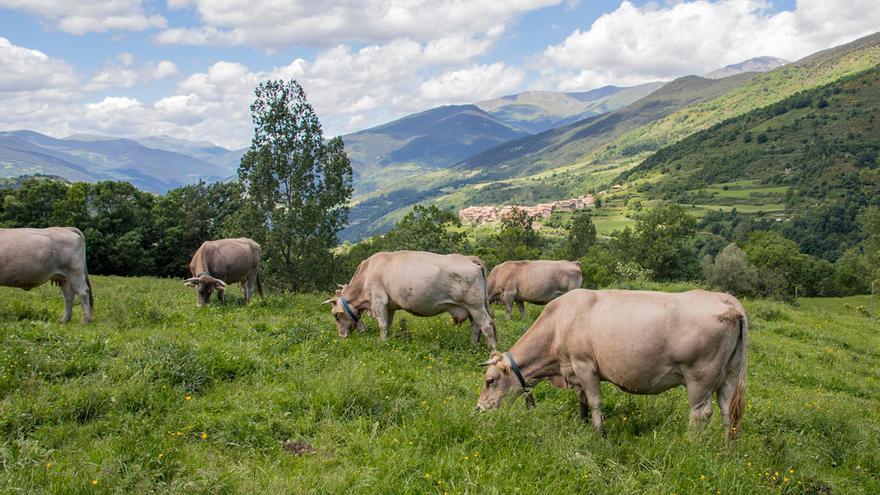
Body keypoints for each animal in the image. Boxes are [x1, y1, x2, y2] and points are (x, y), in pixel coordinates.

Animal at [324, 252, 502, 348]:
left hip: (475, 305)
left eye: (336, 316)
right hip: (472, 308)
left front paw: (381, 342)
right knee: (476, 327)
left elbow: (382, 323)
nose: (342, 336)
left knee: (486, 325)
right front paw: (386, 340)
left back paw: (492, 350)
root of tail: (469, 258)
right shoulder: (390, 306)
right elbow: (387, 324)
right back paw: (473, 346)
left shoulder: (379, 299)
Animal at [478, 288, 744, 440]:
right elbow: (583, 400)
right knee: (727, 411)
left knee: (701, 413)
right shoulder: (574, 371)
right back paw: (725, 449)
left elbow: (595, 401)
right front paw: (582, 423)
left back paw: (690, 445)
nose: (479, 409)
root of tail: (725, 299)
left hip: (700, 376)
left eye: (490, 380)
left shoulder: (585, 365)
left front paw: (599, 434)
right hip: (729, 375)